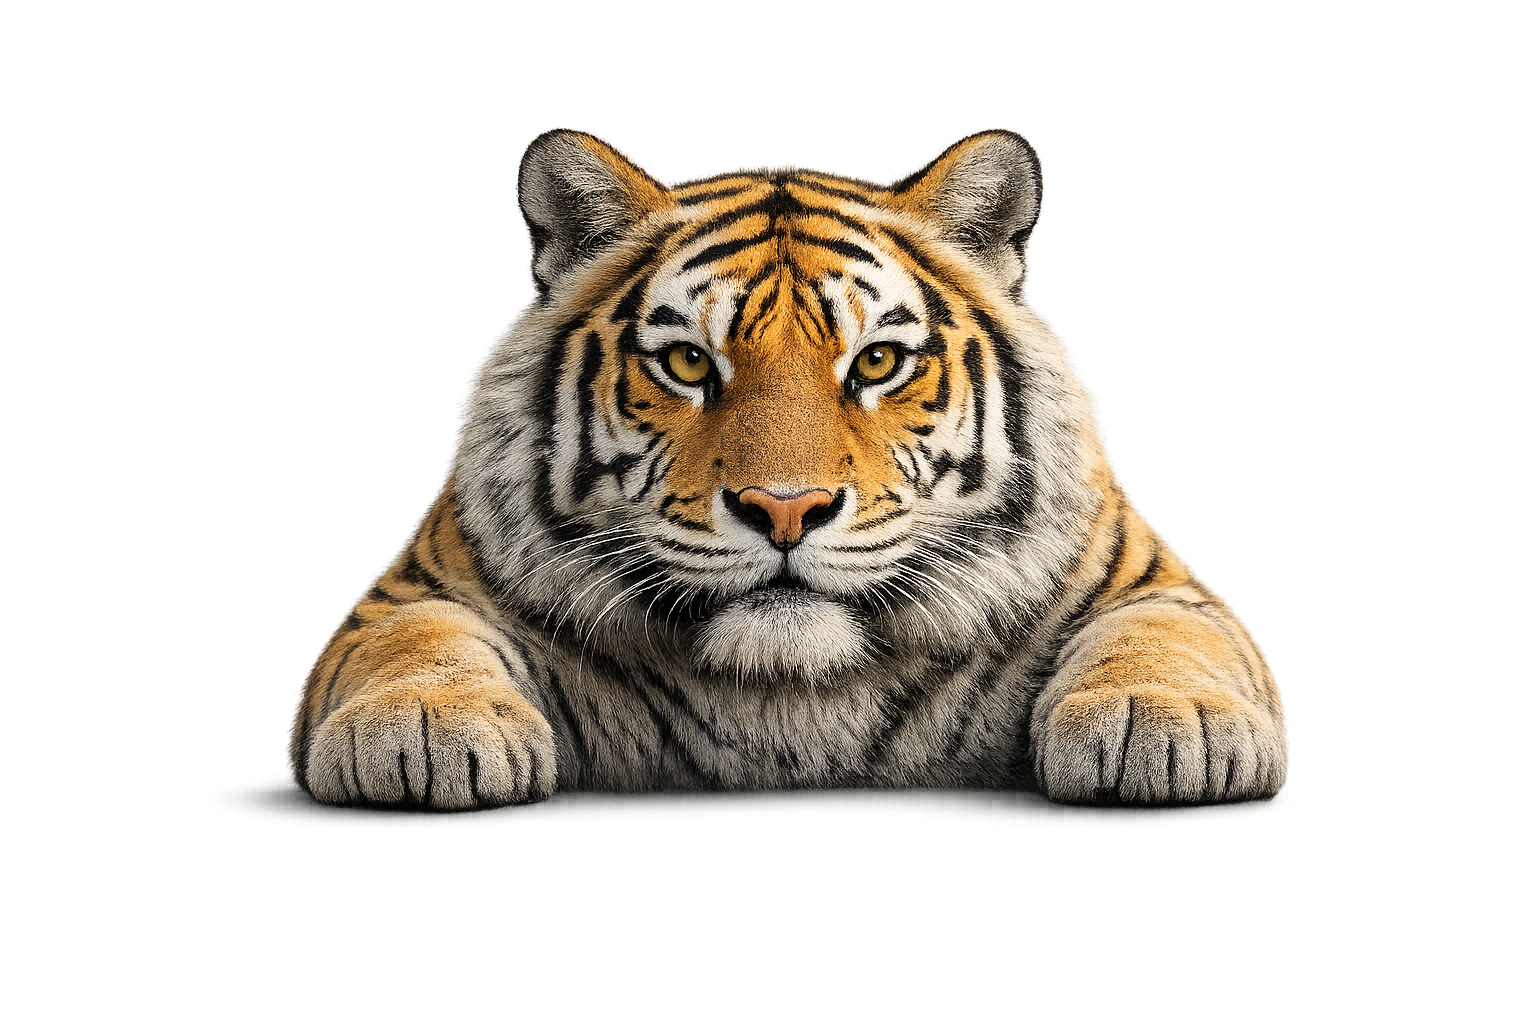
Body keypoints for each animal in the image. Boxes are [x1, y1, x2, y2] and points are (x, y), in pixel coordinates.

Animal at [293, 130, 1286, 809]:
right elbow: (412, 640)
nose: (785, 510)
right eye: (687, 363)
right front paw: (422, 730)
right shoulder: (416, 588)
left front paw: (1167, 728)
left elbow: (1163, 634)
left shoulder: (1150, 582)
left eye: (877, 362)